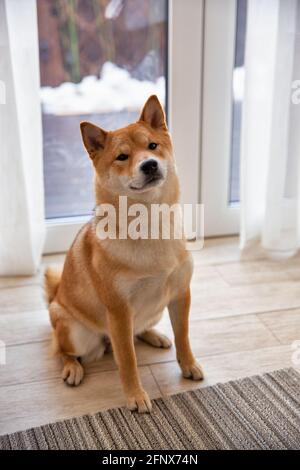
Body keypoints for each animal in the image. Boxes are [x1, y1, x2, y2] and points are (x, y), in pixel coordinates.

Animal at [44, 94, 203, 412]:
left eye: (152, 146)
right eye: (122, 157)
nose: (150, 165)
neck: (150, 224)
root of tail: (55, 296)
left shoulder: (180, 293)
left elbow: (183, 336)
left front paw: (188, 365)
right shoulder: (118, 311)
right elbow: (127, 360)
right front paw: (135, 395)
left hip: (155, 309)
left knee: (138, 331)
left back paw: (154, 335)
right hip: (76, 333)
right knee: (63, 350)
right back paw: (72, 368)